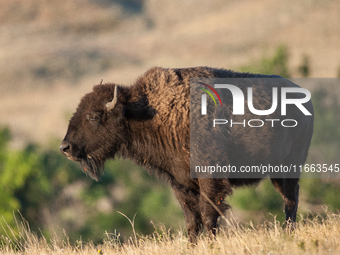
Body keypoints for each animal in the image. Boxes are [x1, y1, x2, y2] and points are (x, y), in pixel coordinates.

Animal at [60, 66, 314, 244]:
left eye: (93, 116)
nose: (66, 148)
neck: (149, 112)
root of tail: (305, 99)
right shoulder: (180, 183)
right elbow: (192, 220)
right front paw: (192, 245)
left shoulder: (210, 178)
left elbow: (209, 214)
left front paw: (211, 244)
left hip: (290, 166)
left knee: (291, 197)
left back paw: (288, 230)